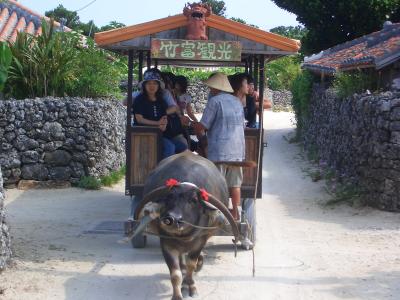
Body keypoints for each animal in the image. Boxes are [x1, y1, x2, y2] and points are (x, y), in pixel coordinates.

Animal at [134, 152, 241, 300]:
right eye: (169, 197)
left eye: (194, 200)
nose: (172, 219)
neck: (184, 235)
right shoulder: (166, 243)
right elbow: (175, 273)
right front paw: (177, 295)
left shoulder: (200, 241)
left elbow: (191, 264)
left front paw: (191, 286)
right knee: (181, 260)